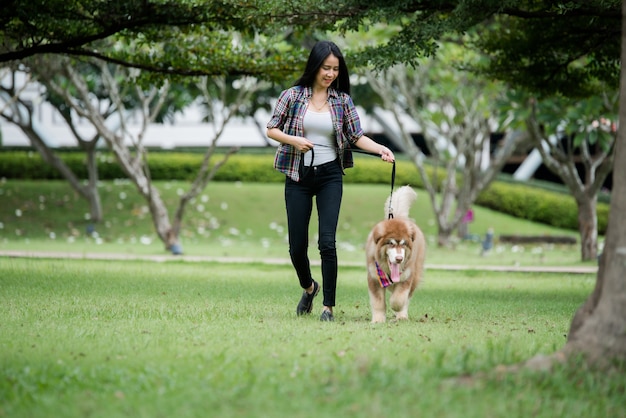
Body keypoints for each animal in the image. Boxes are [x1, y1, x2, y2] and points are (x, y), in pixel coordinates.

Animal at [366, 186, 424, 324]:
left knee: (407, 298)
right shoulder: (373, 278)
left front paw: (396, 307)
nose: (399, 259)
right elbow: (378, 302)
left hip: (415, 274)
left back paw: (402, 316)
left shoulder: (407, 276)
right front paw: (378, 319)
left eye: (403, 244)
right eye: (391, 243)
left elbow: (399, 299)